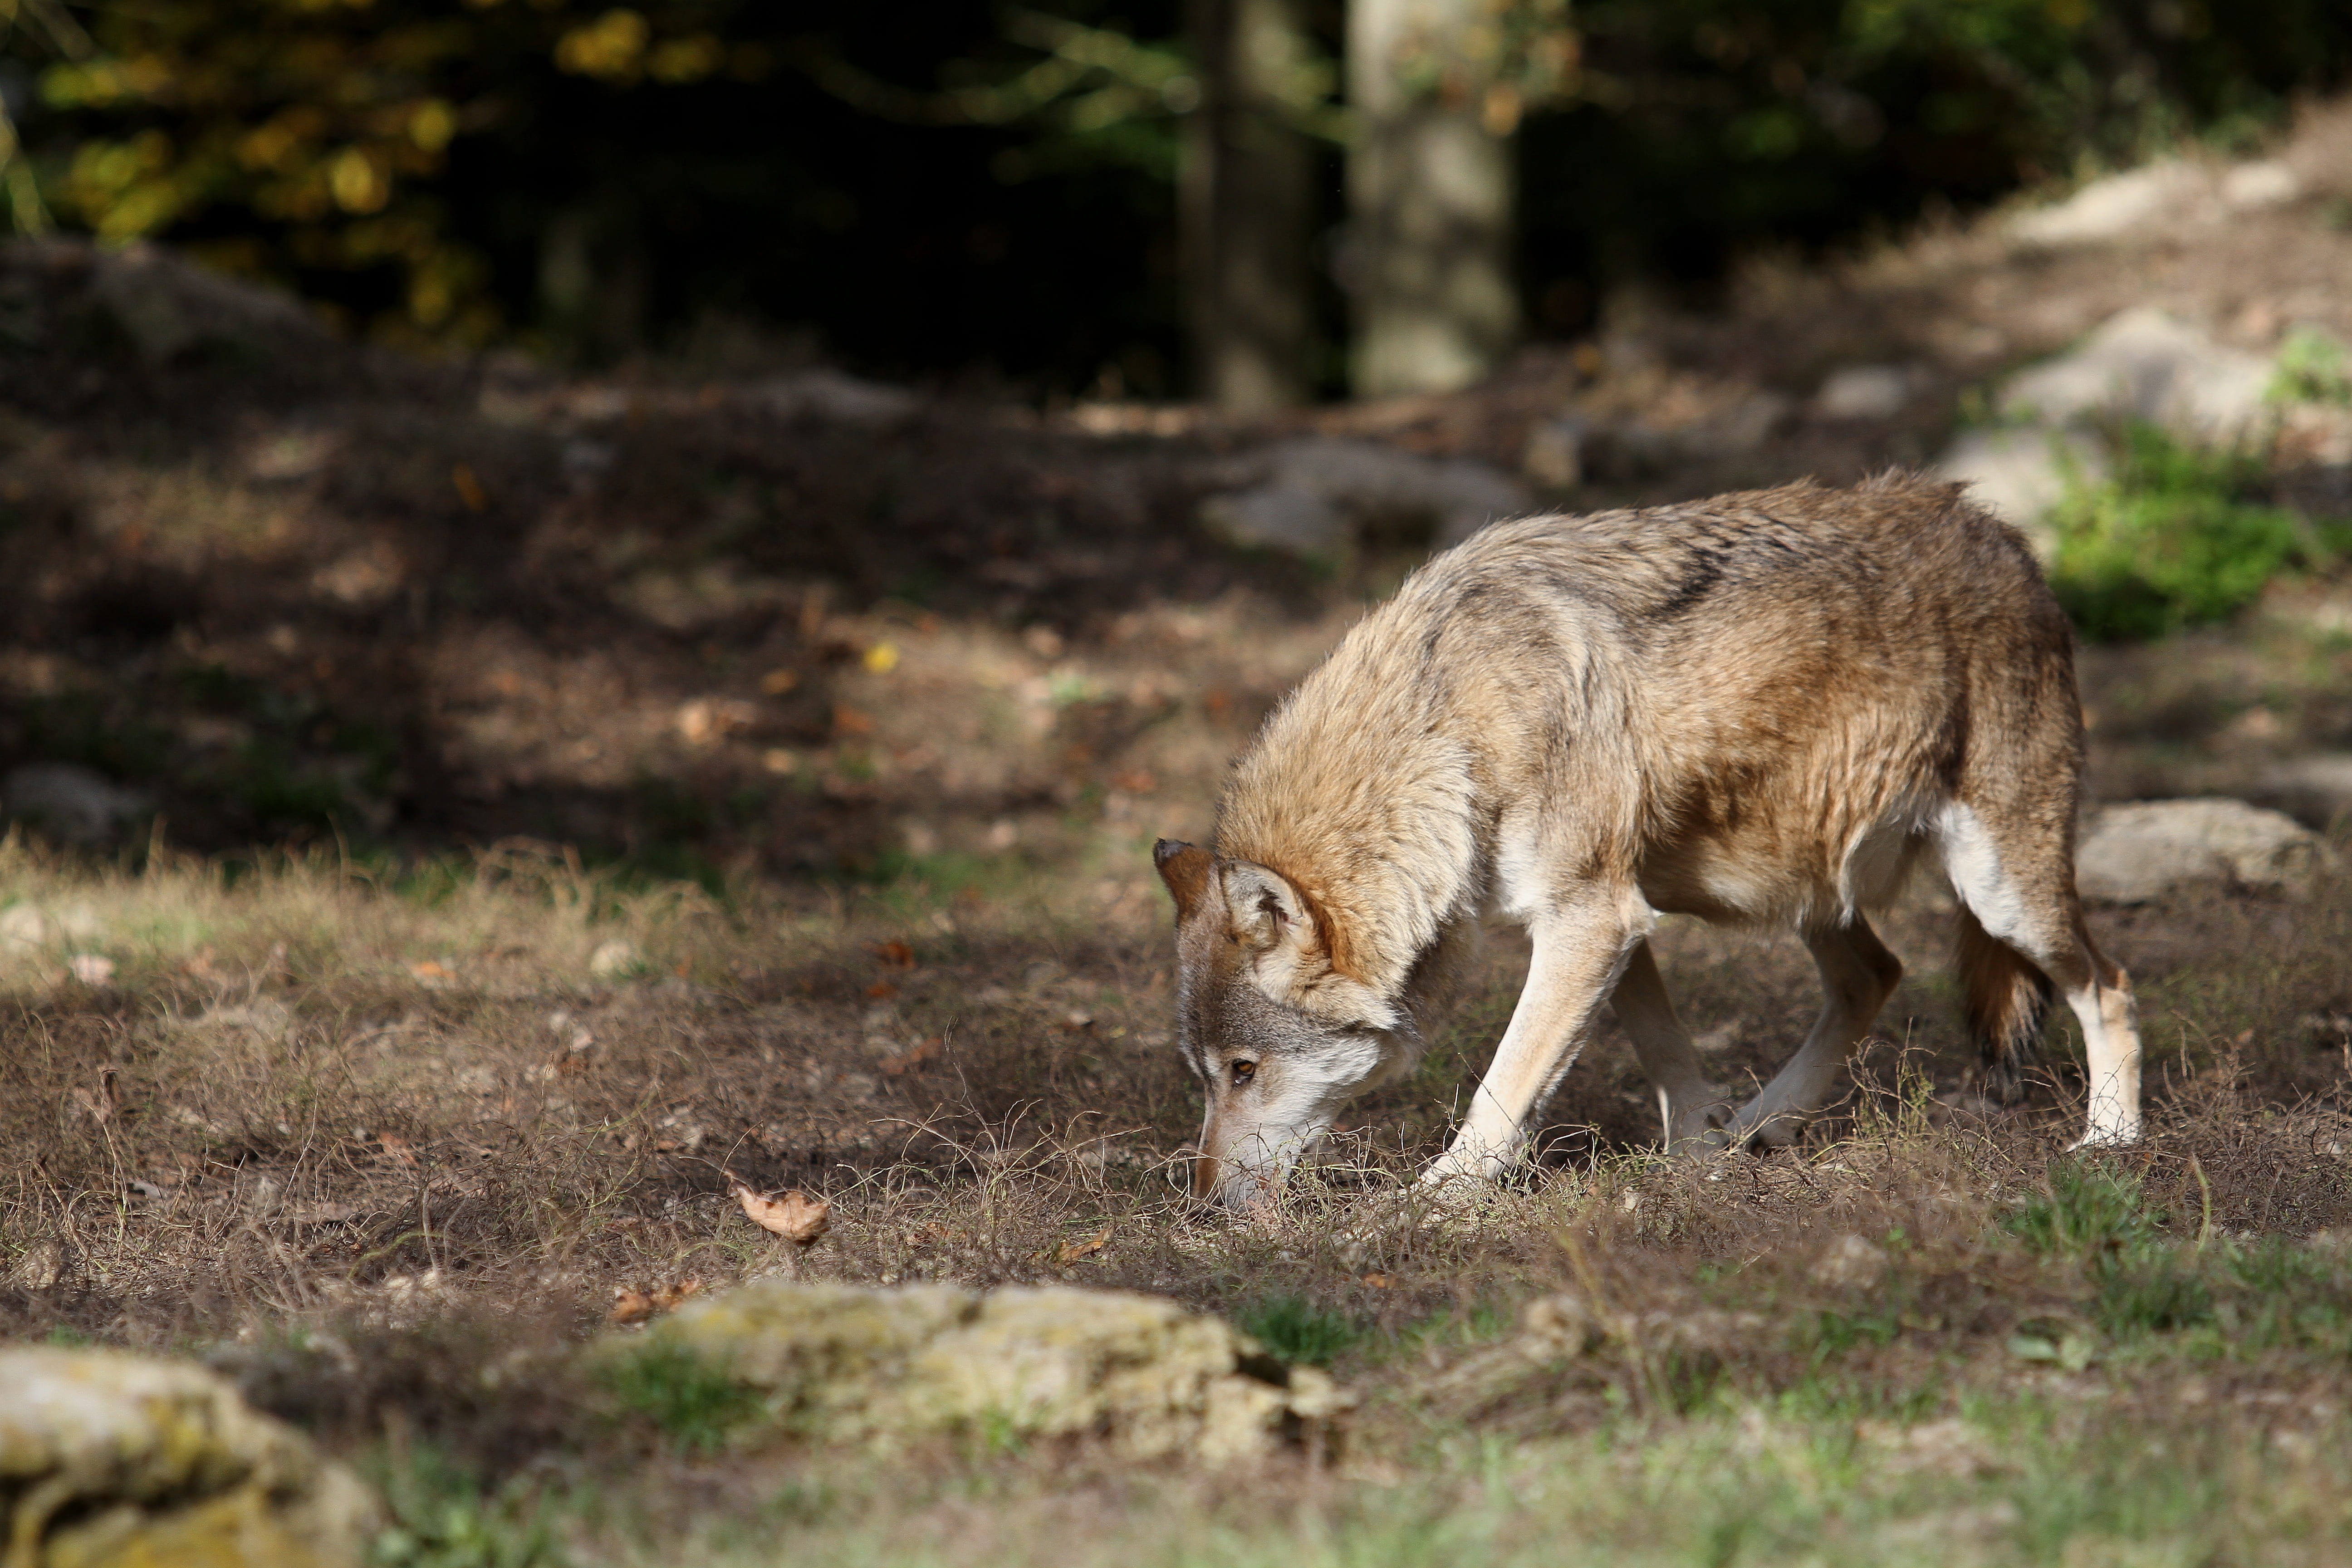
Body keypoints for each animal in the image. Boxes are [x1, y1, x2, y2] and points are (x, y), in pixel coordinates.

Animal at [1153, 474, 2140, 1210]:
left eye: (1242, 1071)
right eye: (1204, 1077)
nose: (1196, 1204)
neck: (1450, 727)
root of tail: (2004, 535)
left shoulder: (1590, 919)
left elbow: (1502, 1087)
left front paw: (1434, 1201)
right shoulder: (1606, 921)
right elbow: (1666, 1055)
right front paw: (1700, 1156)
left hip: (1998, 891)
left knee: (2108, 982)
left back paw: (2111, 1139)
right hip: (1797, 887)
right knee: (1875, 974)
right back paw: (1761, 1126)